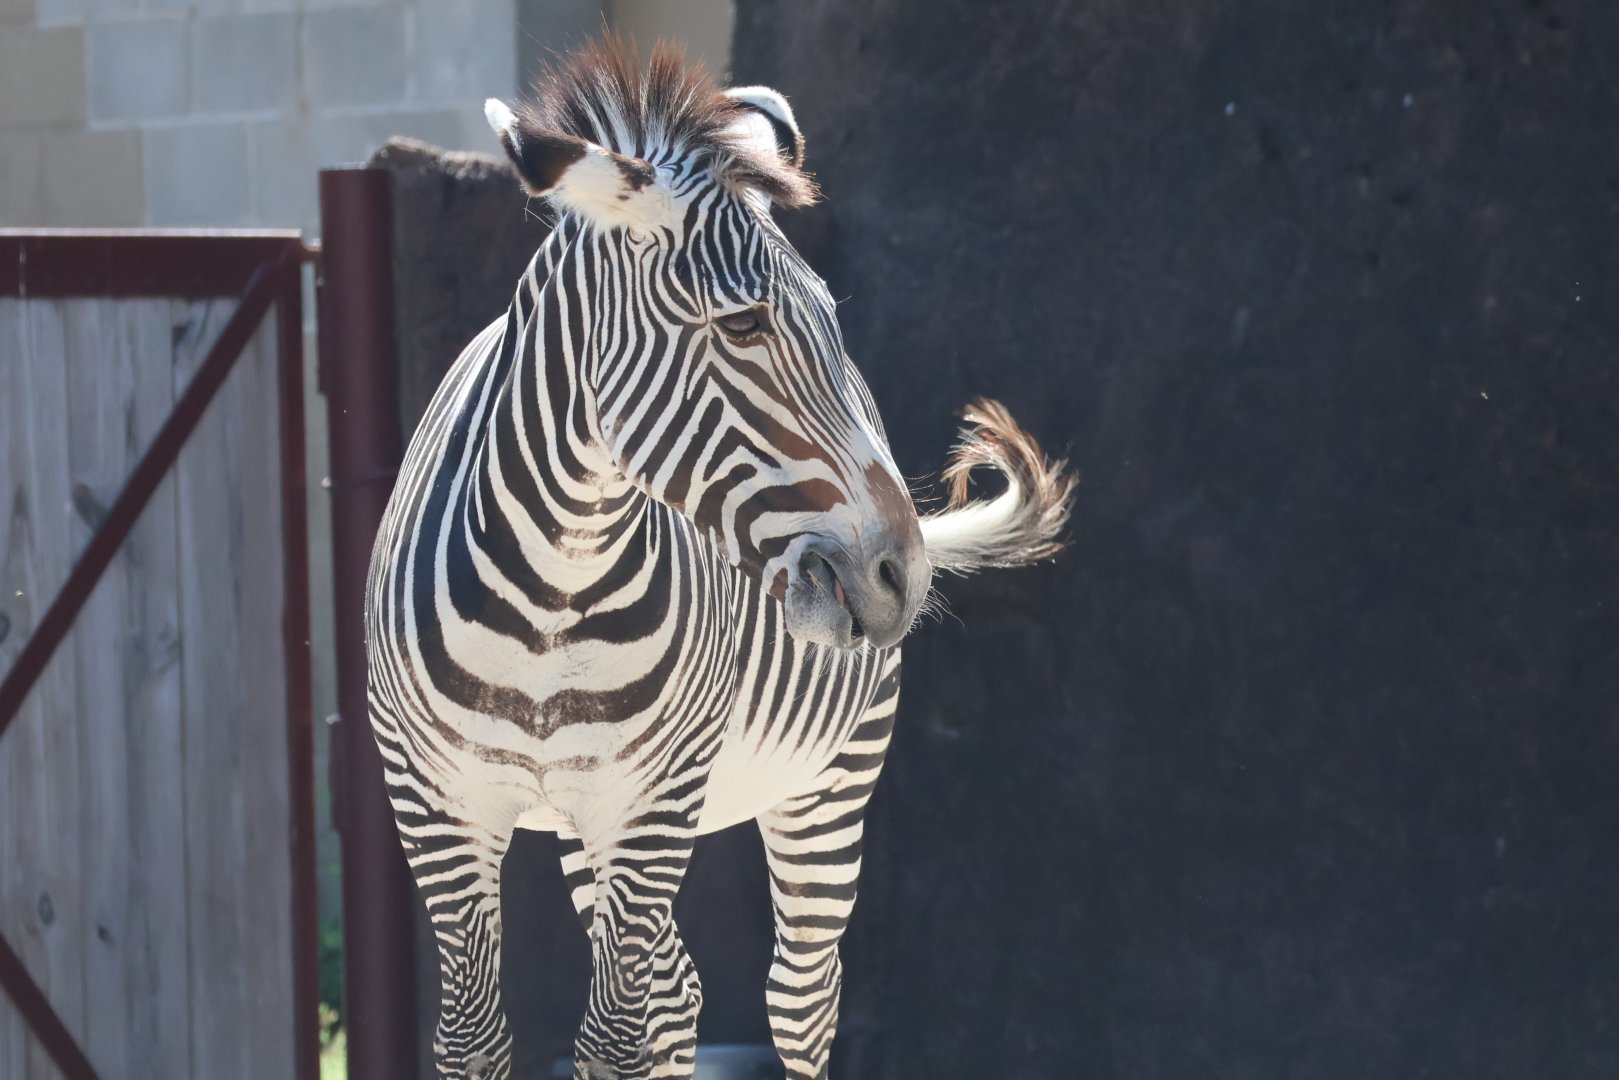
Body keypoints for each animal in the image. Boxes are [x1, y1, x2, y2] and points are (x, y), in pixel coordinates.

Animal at [366, 39, 1075, 1080]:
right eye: (742, 325)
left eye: (829, 319)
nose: (901, 577)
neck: (549, 591)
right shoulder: (436, 807)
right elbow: (478, 1036)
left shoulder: (653, 803)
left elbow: (613, 1039)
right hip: (588, 828)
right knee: (678, 994)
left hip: (824, 787)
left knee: (795, 1000)